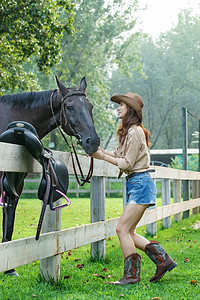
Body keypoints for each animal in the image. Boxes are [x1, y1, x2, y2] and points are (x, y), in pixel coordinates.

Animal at [0, 77, 100, 274]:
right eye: (69, 107)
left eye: (90, 106)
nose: (93, 141)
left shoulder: (15, 183)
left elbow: (9, 218)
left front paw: (9, 268)